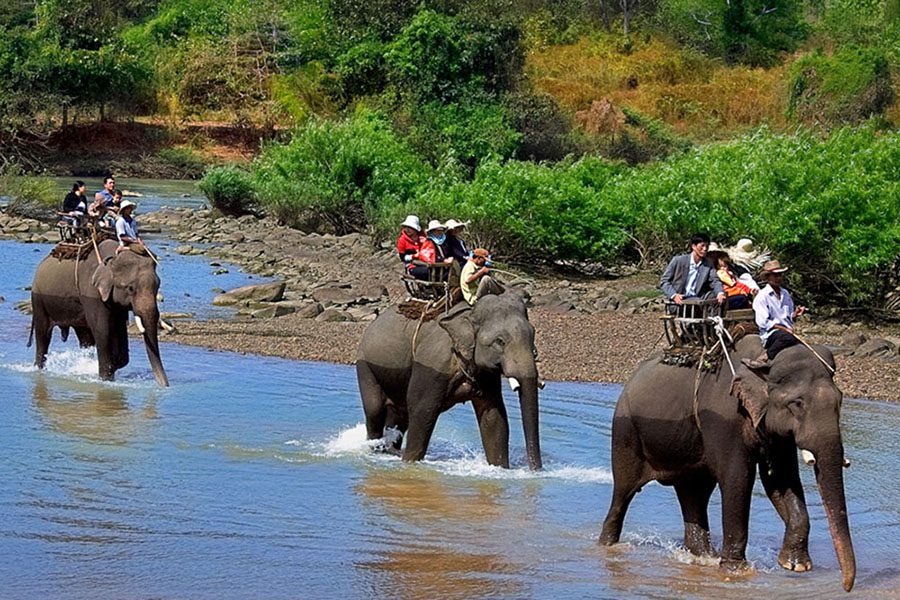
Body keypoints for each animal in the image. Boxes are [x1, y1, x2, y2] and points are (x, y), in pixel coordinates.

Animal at [30, 237, 170, 386]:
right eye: (130, 288)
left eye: (158, 285)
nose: (165, 386)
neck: (112, 258)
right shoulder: (92, 293)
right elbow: (102, 330)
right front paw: (106, 379)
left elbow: (120, 331)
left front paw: (112, 366)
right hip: (38, 299)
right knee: (43, 335)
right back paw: (39, 369)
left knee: (84, 337)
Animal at [356, 290, 540, 468]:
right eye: (500, 341)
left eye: (533, 335)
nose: (536, 469)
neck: (469, 313)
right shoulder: (433, 363)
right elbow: (422, 410)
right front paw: (409, 463)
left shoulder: (485, 375)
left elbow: (493, 417)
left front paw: (499, 468)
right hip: (365, 366)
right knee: (375, 410)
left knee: (400, 417)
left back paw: (391, 451)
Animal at [600, 336, 856, 592]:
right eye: (797, 404)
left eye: (841, 401)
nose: (846, 587)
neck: (763, 358)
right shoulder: (724, 419)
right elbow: (738, 478)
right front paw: (736, 571)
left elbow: (781, 480)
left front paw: (795, 566)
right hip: (625, 432)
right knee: (624, 492)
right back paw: (607, 545)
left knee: (693, 493)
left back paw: (703, 557)